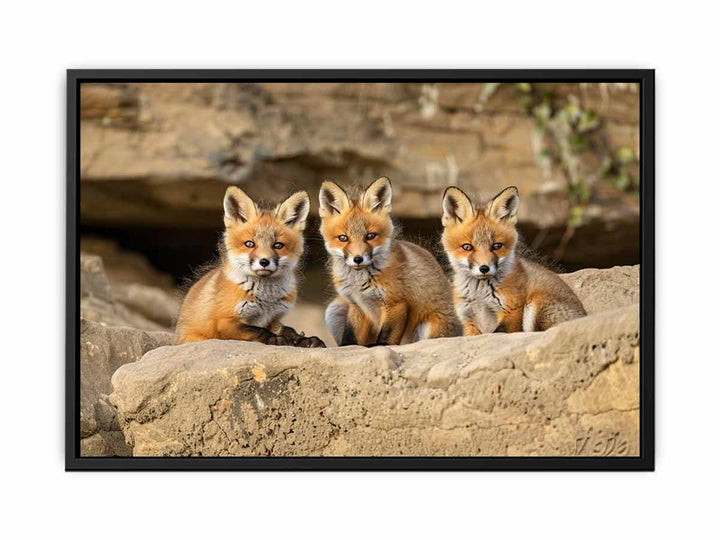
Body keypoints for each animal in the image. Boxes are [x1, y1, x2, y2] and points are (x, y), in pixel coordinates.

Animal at [176, 186, 326, 346]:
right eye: (249, 244)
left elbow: (288, 330)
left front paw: (305, 339)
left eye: (278, 245)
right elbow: (257, 330)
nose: (264, 262)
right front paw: (276, 339)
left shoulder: (274, 318)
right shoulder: (224, 322)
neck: (266, 300)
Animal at [320, 177, 458, 346]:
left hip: (427, 327)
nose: (358, 259)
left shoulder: (396, 304)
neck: (359, 282)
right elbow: (351, 333)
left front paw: (378, 346)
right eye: (343, 238)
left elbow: (387, 337)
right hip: (334, 309)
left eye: (370, 236)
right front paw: (347, 346)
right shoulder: (356, 304)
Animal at [438, 188, 584, 336]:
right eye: (467, 247)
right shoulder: (468, 319)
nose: (484, 268)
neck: (479, 295)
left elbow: (498, 332)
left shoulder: (512, 310)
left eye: (497, 246)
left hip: (536, 303)